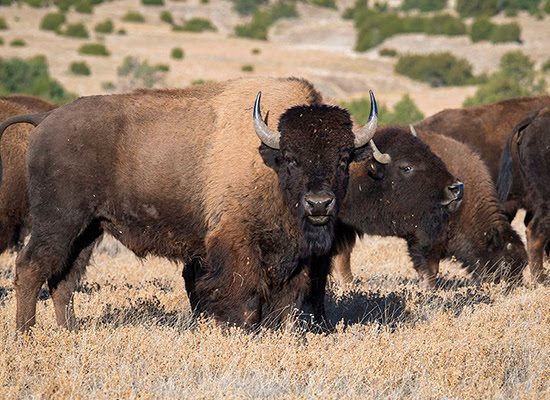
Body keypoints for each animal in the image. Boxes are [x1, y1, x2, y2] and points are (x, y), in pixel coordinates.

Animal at [0, 76, 384, 332]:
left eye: (344, 158)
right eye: (291, 157)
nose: (318, 205)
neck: (267, 160)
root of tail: (44, 121)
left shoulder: (296, 257)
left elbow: (287, 306)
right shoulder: (234, 244)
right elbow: (245, 300)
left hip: (88, 230)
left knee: (64, 280)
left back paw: (70, 332)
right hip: (58, 222)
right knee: (30, 268)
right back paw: (25, 335)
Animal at [332, 126, 532, 288]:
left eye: (522, 265)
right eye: (504, 263)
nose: (515, 287)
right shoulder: (428, 239)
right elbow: (429, 269)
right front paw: (428, 290)